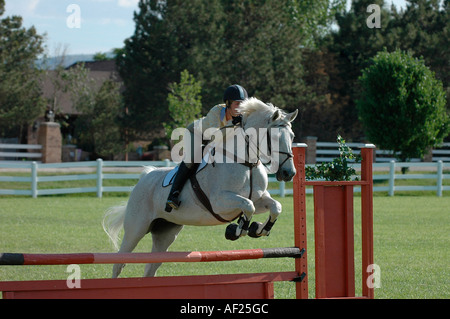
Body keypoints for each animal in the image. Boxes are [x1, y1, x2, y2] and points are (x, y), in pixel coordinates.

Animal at [103, 99, 298, 278]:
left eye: (292, 136)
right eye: (274, 137)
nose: (289, 173)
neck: (246, 163)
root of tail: (145, 176)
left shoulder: (258, 199)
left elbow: (275, 206)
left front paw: (258, 229)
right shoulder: (221, 203)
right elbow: (247, 206)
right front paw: (236, 231)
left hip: (165, 232)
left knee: (151, 266)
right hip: (136, 229)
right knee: (119, 262)